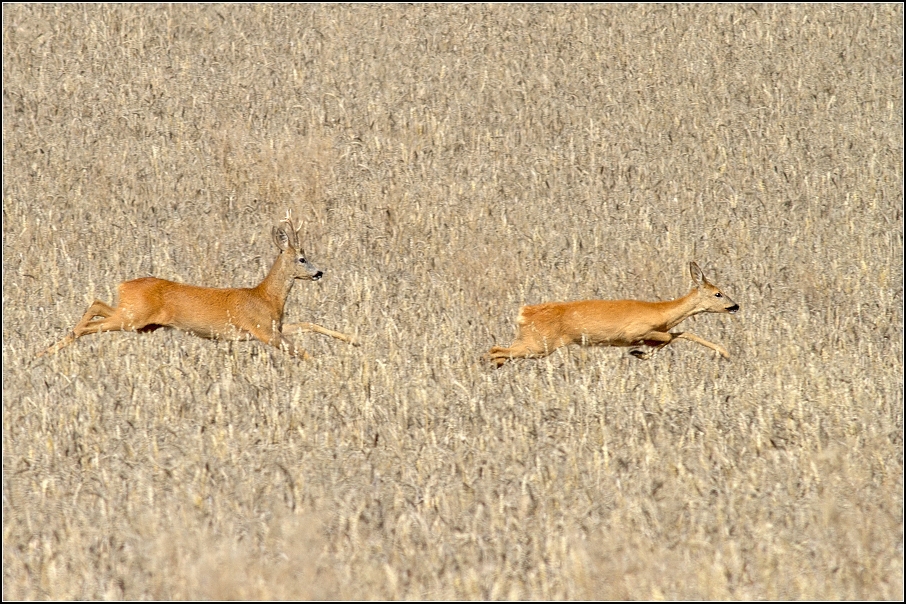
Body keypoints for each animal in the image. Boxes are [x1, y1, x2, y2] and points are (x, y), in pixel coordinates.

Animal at [38, 215, 356, 360]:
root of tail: (123, 284)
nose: (319, 272)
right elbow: (300, 351)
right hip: (133, 317)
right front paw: (323, 366)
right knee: (93, 319)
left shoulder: (273, 327)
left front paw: (354, 341)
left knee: (96, 305)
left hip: (137, 319)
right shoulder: (262, 331)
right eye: (302, 258)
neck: (266, 297)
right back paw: (51, 348)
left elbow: (309, 324)